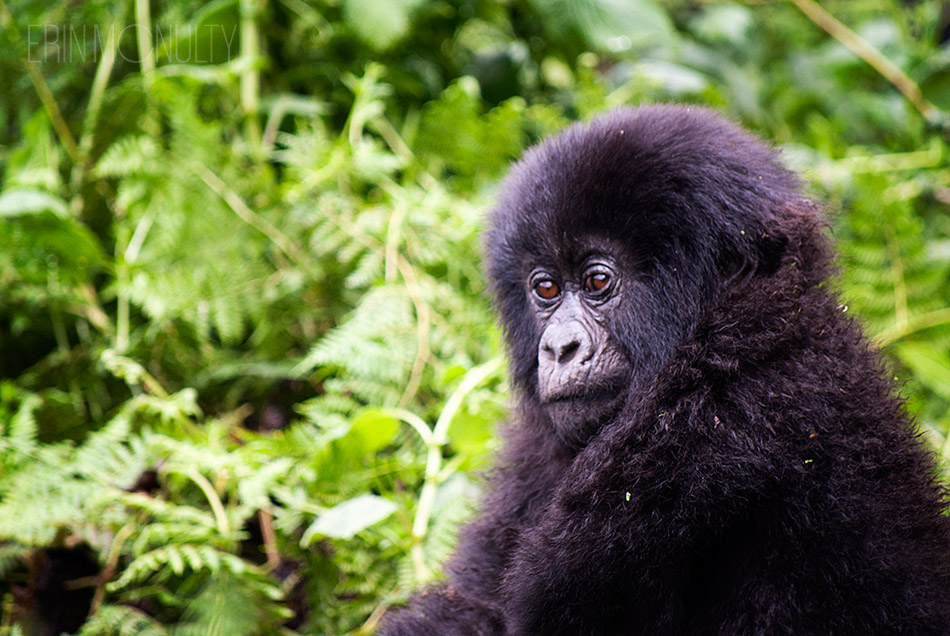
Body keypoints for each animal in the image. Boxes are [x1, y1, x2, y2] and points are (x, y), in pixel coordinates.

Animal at [380, 105, 950, 636]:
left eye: (598, 281)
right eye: (545, 288)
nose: (559, 349)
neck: (733, 338)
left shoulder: (718, 419)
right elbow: (471, 604)